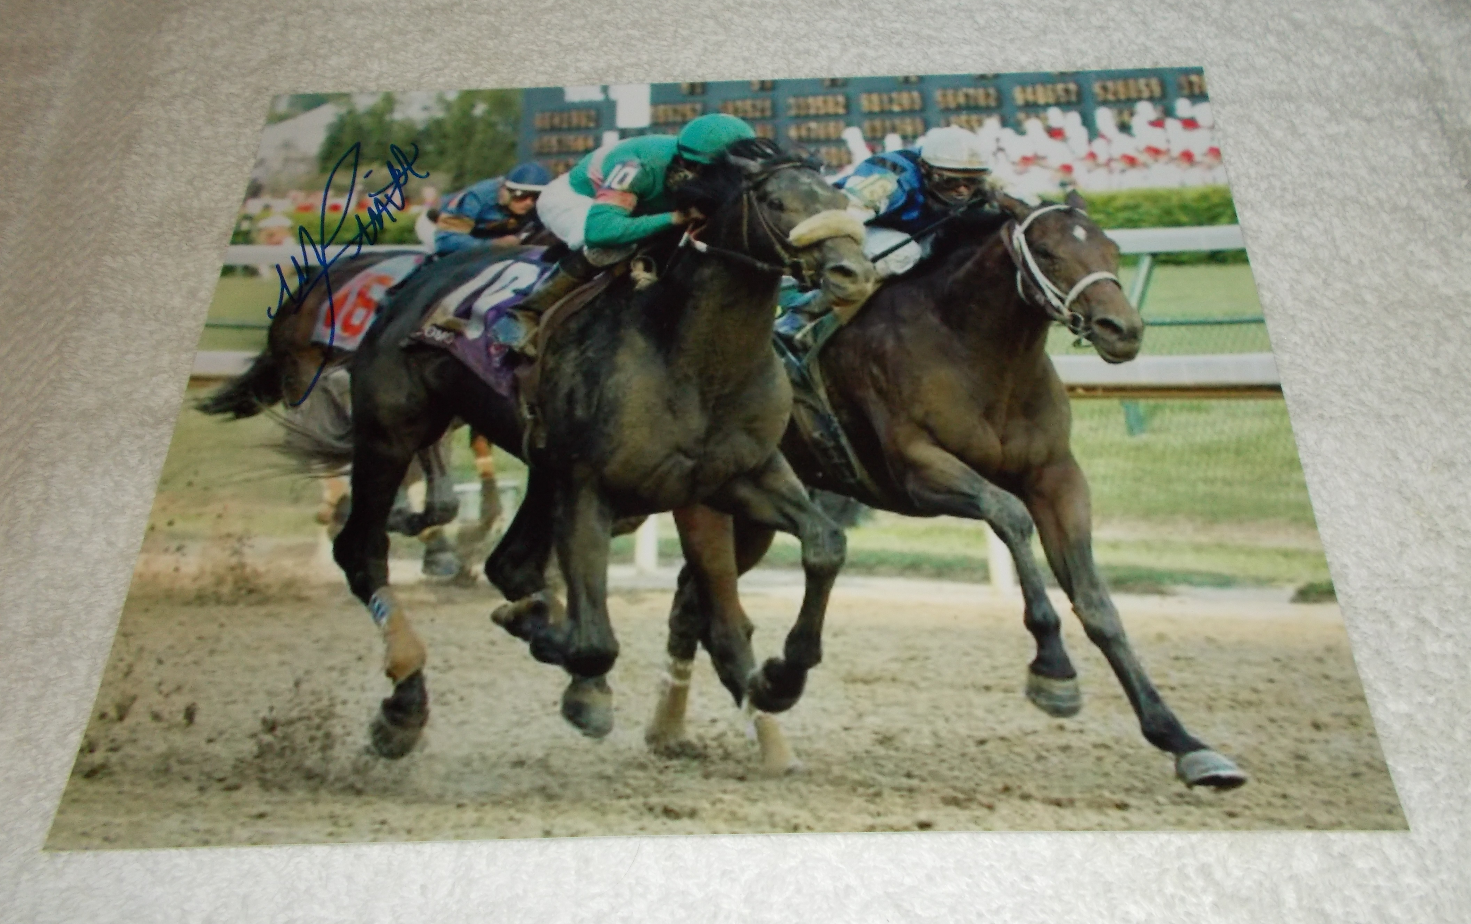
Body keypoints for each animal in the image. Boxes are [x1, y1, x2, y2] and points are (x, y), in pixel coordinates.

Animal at [650, 189, 1247, 788]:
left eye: (1111, 247)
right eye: (1048, 252)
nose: (1121, 329)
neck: (974, 350)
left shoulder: (1056, 476)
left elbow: (1097, 603)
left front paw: (1184, 742)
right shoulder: (919, 470)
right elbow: (1009, 515)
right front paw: (1053, 669)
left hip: (753, 517)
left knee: (688, 603)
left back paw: (672, 731)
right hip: (711, 501)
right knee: (721, 618)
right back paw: (763, 715)